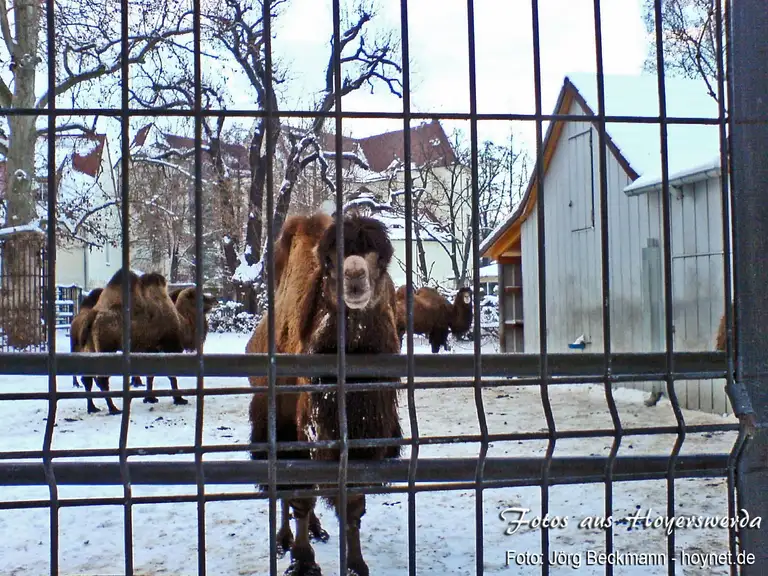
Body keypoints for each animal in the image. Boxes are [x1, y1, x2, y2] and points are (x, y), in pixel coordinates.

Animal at [249, 213, 402, 576]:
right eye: (330, 261)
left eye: (382, 259)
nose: (355, 276)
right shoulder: (295, 430)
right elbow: (300, 496)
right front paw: (303, 561)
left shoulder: (363, 440)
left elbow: (353, 504)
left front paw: (356, 564)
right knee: (286, 493)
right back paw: (284, 540)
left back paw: (318, 530)